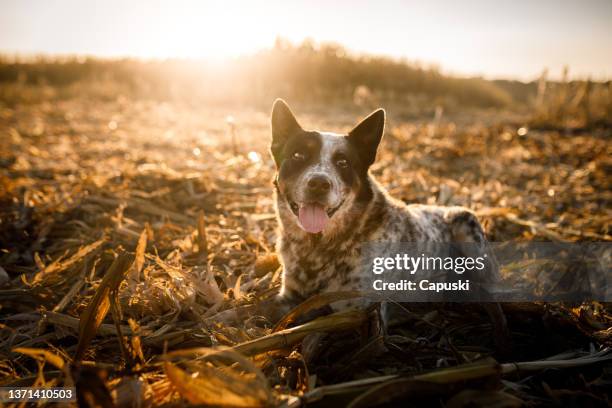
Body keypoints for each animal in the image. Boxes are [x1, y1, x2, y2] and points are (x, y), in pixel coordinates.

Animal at [270, 99, 504, 334]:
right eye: (298, 155)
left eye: (343, 162)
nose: (319, 183)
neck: (317, 249)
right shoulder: (289, 299)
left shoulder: (361, 312)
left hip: (466, 224)